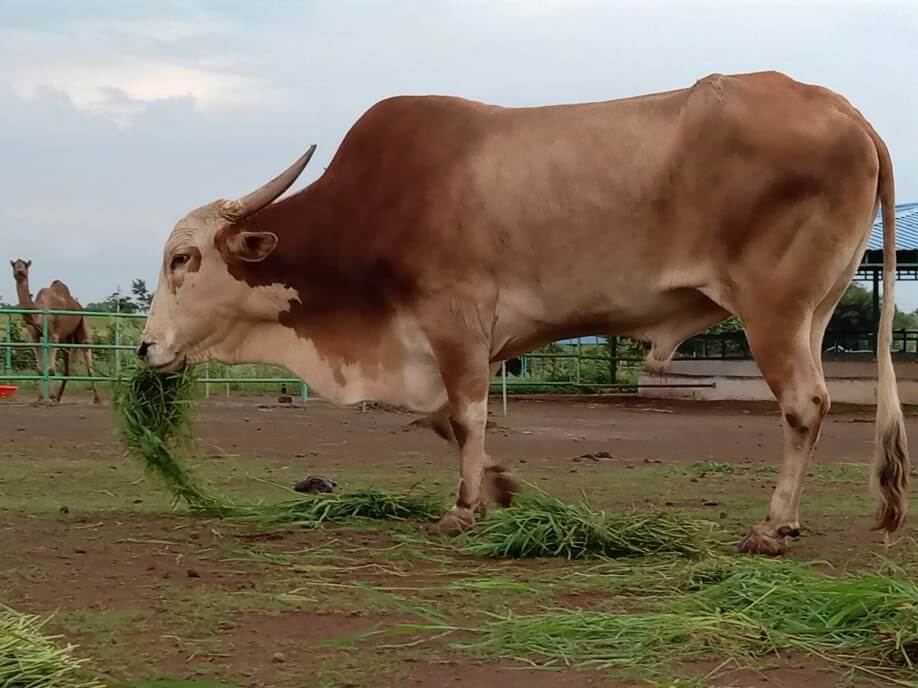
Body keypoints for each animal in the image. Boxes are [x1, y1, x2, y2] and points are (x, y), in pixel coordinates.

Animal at [10, 260, 100, 406]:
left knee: (88, 356)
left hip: (83, 323)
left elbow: (51, 370)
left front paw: (49, 397)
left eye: (25, 265)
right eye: (14, 265)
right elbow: (40, 369)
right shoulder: (35, 337)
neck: (37, 313)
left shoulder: (53, 335)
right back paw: (58, 397)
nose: (19, 271)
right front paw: (40, 398)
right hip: (66, 339)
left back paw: (96, 399)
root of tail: (78, 306)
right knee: (67, 368)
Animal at [144, 71, 912, 552]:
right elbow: (444, 419)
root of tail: (846, 111)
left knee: (805, 404)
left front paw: (462, 509)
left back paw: (772, 527)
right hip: (814, 311)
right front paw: (499, 486)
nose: (148, 348)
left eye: (182, 259)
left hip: (772, 310)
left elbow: (465, 415)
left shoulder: (455, 318)